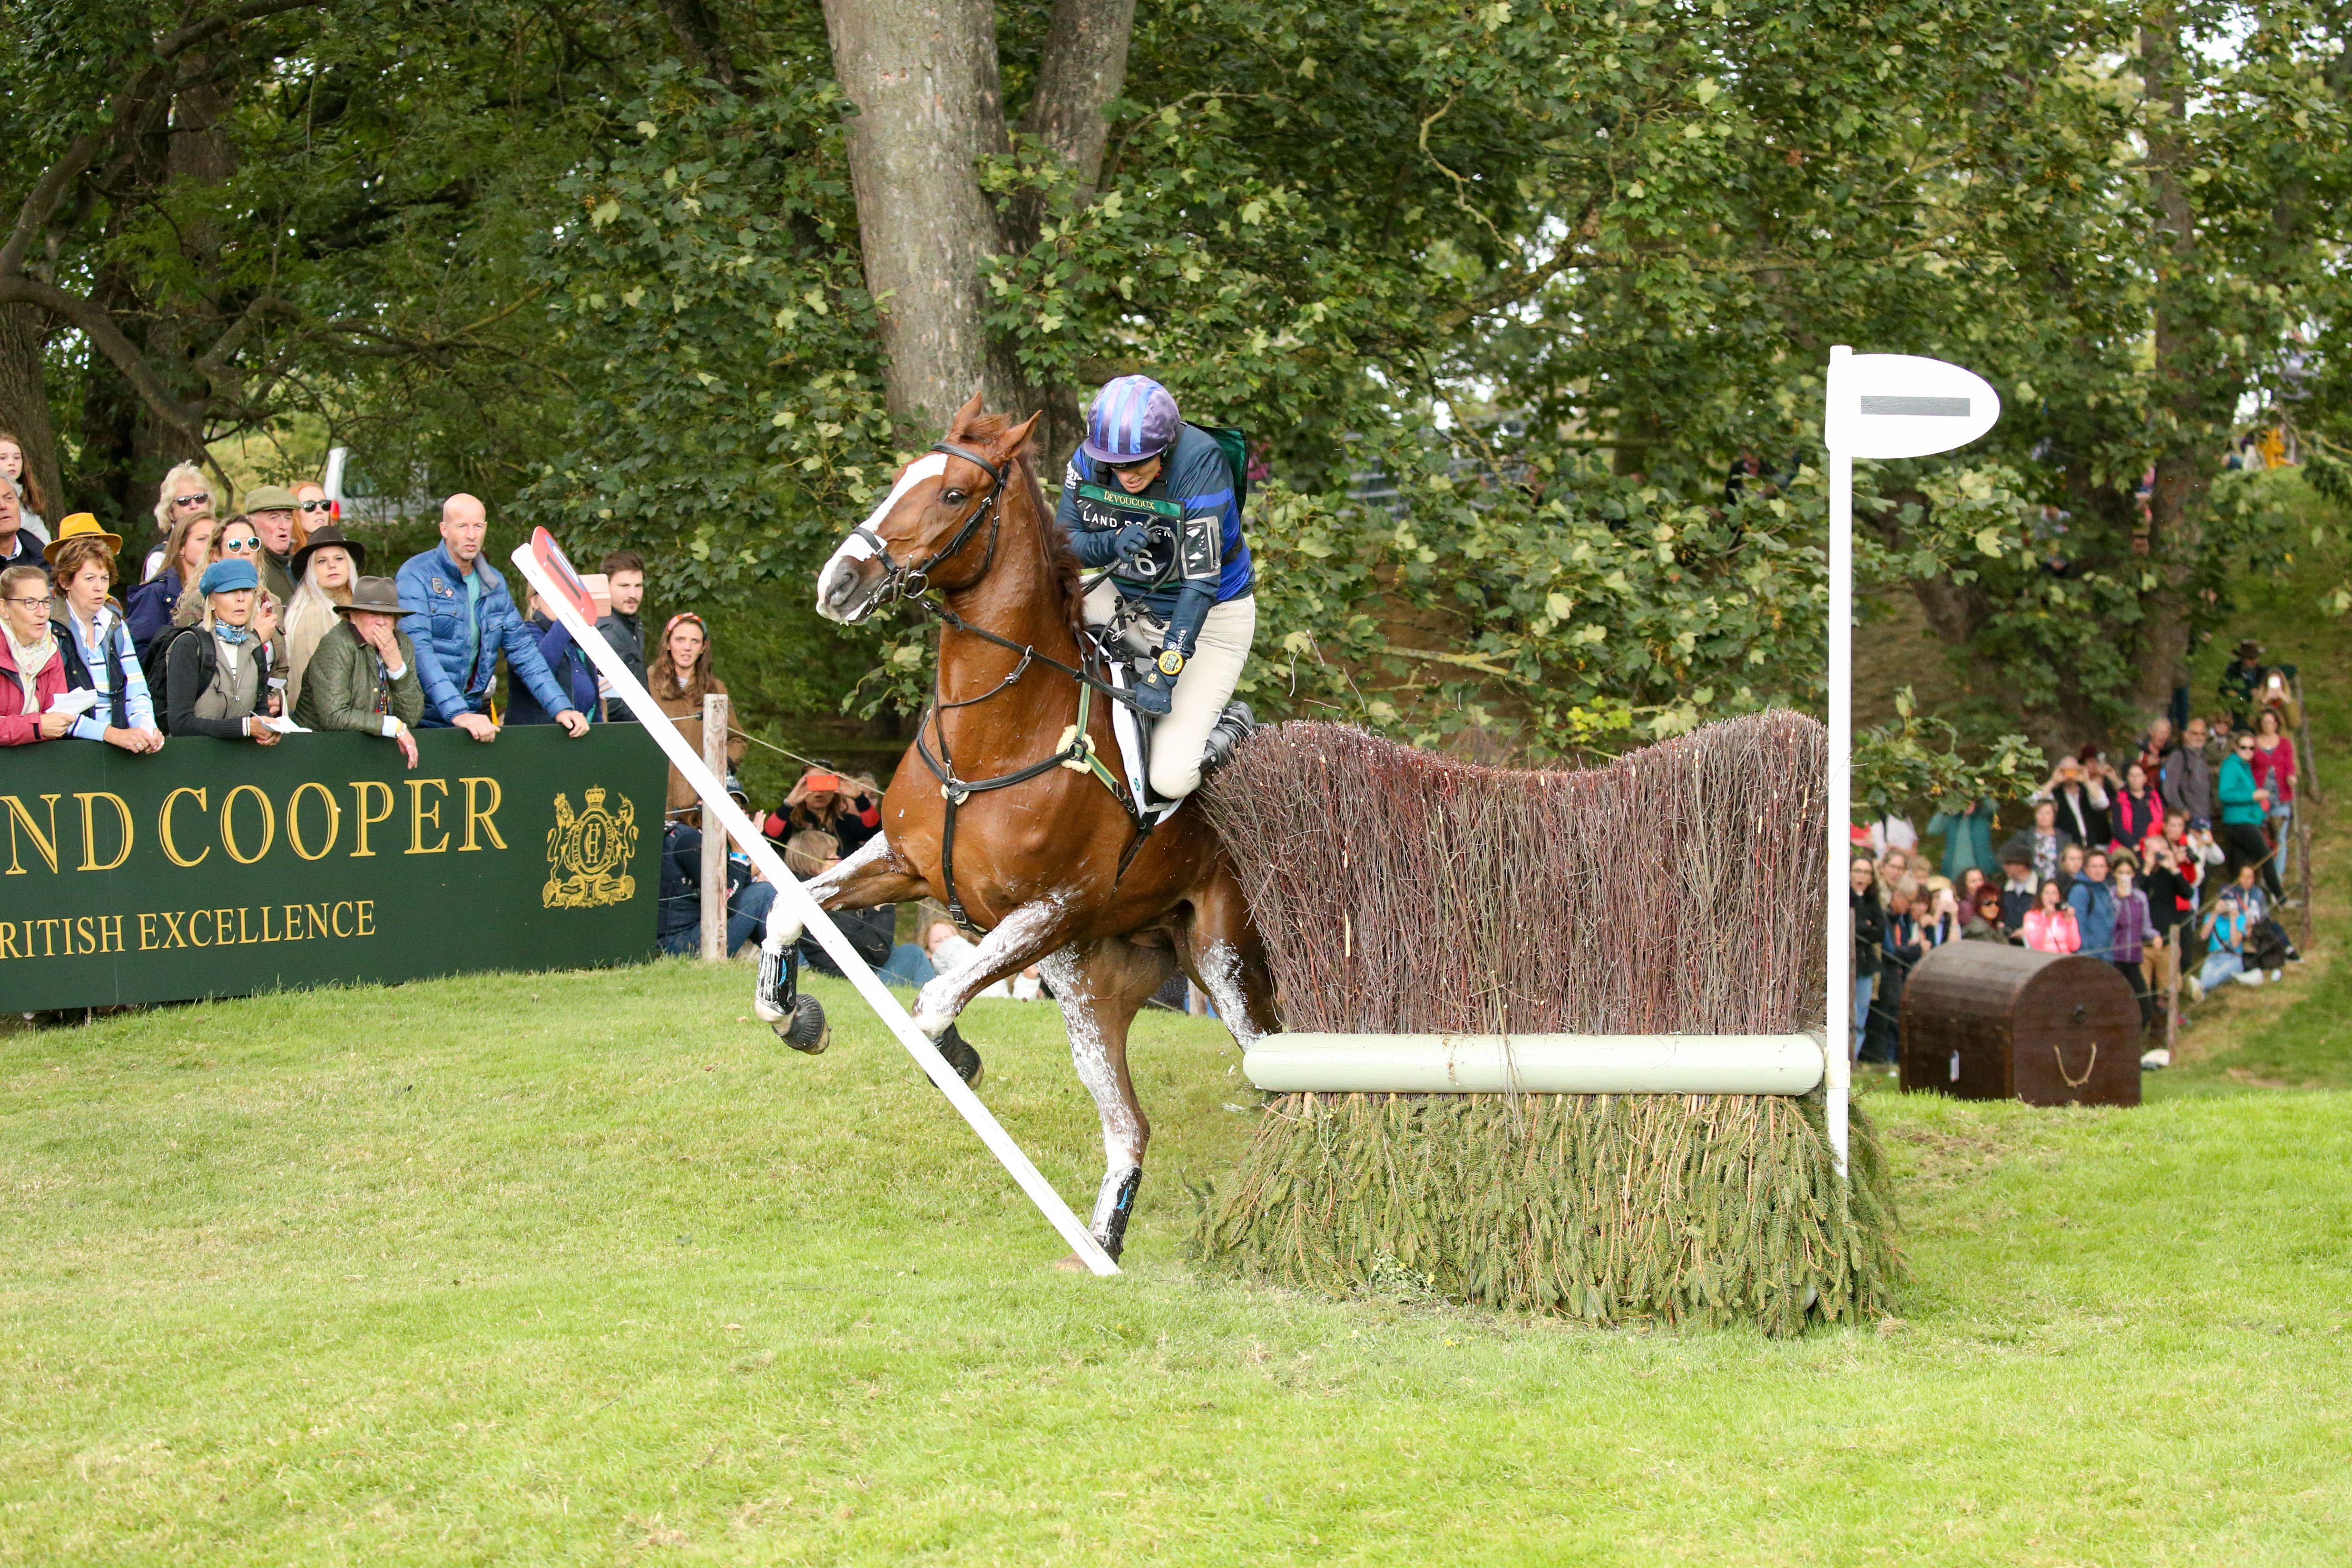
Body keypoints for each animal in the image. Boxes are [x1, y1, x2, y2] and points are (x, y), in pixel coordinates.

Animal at [757, 399, 1279, 1269]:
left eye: (953, 494)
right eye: (899, 475)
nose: (840, 583)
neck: (996, 731)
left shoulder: (1048, 911)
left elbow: (934, 998)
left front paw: (955, 1060)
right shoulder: (903, 862)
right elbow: (789, 907)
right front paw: (796, 1017)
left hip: (1222, 962)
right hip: (1091, 983)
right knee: (1129, 1125)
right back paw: (1099, 1242)